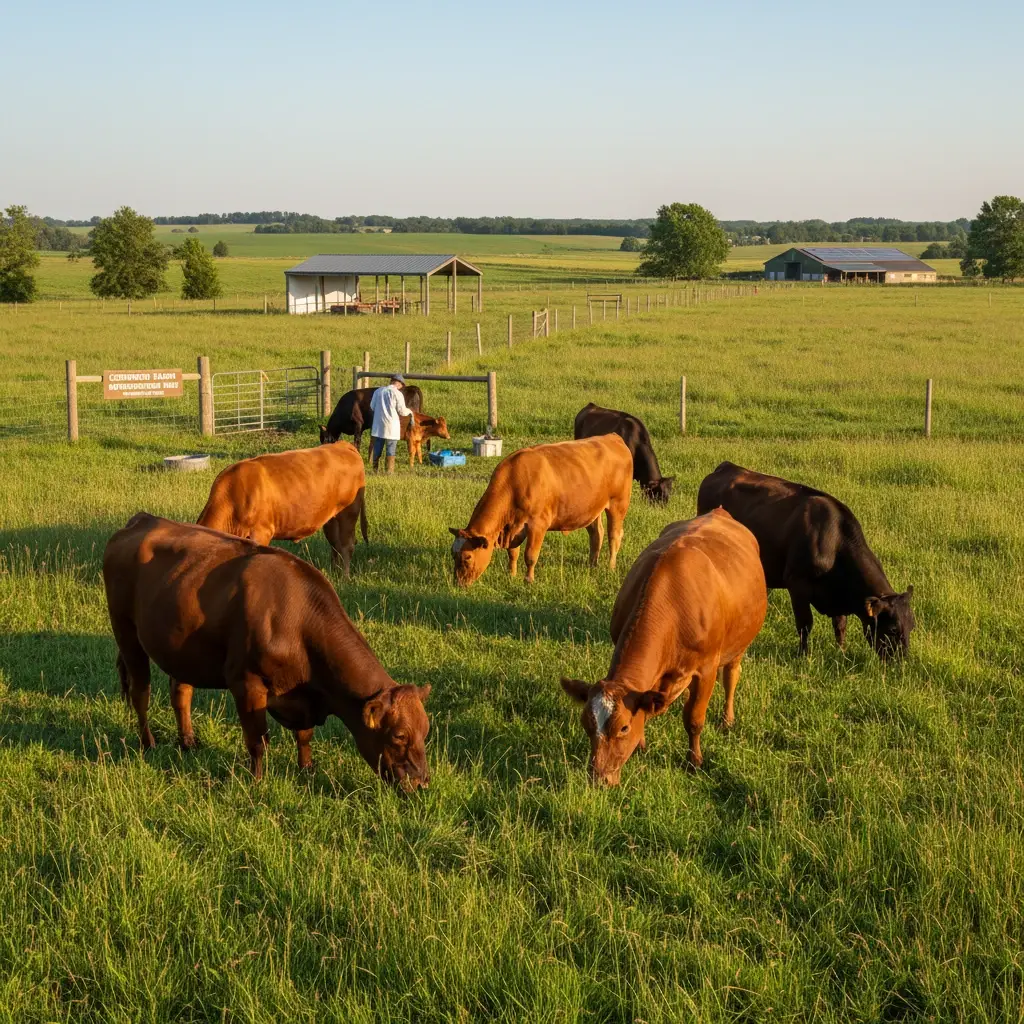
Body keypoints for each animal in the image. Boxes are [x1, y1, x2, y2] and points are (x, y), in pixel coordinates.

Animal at [103, 513, 431, 789]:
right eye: (399, 735)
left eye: (425, 732)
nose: (422, 783)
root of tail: (142, 519)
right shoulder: (246, 684)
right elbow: (257, 740)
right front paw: (257, 781)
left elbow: (304, 735)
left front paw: (306, 769)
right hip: (126, 632)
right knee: (140, 692)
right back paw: (148, 743)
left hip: (182, 650)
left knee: (180, 692)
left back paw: (188, 742)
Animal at [197, 442, 367, 577]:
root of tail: (342, 444)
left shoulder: (262, 532)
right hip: (331, 518)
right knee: (335, 543)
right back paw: (333, 573)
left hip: (349, 512)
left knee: (346, 544)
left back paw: (344, 577)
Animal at [449, 434, 632, 586]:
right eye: (453, 554)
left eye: (467, 557)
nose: (458, 583)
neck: (513, 483)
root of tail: (612, 437)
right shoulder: (513, 527)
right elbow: (513, 553)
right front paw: (511, 575)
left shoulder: (538, 524)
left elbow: (530, 555)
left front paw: (528, 580)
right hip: (592, 508)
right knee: (596, 534)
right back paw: (592, 565)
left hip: (618, 504)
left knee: (614, 536)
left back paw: (610, 567)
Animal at [560, 510, 767, 785]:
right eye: (586, 724)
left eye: (623, 727)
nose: (599, 778)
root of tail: (720, 511)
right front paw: (641, 747)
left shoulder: (706, 669)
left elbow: (694, 718)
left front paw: (694, 761)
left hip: (739, 645)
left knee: (731, 677)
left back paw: (727, 720)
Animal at [696, 461, 915, 659]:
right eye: (893, 629)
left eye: (912, 625)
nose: (901, 662)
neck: (834, 542)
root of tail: (726, 467)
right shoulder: (797, 584)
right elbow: (805, 624)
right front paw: (803, 655)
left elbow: (840, 625)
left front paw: (841, 652)